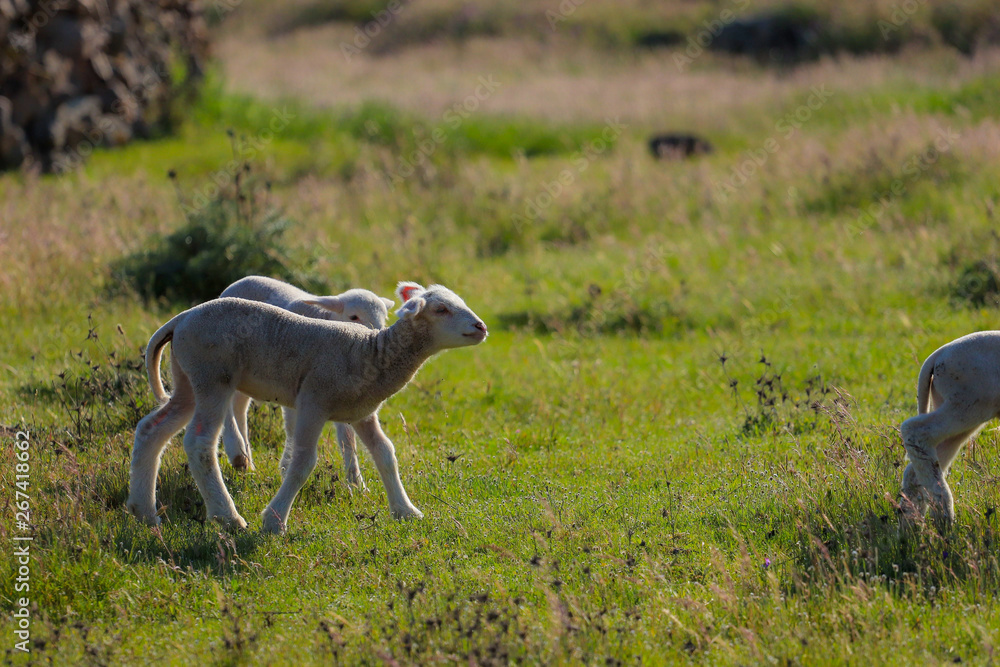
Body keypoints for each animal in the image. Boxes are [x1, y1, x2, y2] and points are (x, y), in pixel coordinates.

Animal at [217, 276, 394, 485]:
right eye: (353, 317)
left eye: (384, 319)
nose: (377, 343)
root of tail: (241, 280)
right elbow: (293, 428)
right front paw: (286, 466)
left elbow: (347, 437)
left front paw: (355, 482)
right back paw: (237, 452)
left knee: (239, 407)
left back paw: (248, 462)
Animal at [900, 331, 1000, 527]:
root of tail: (938, 354)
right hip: (968, 402)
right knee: (915, 430)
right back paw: (943, 516)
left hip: (957, 405)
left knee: (916, 469)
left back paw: (911, 522)